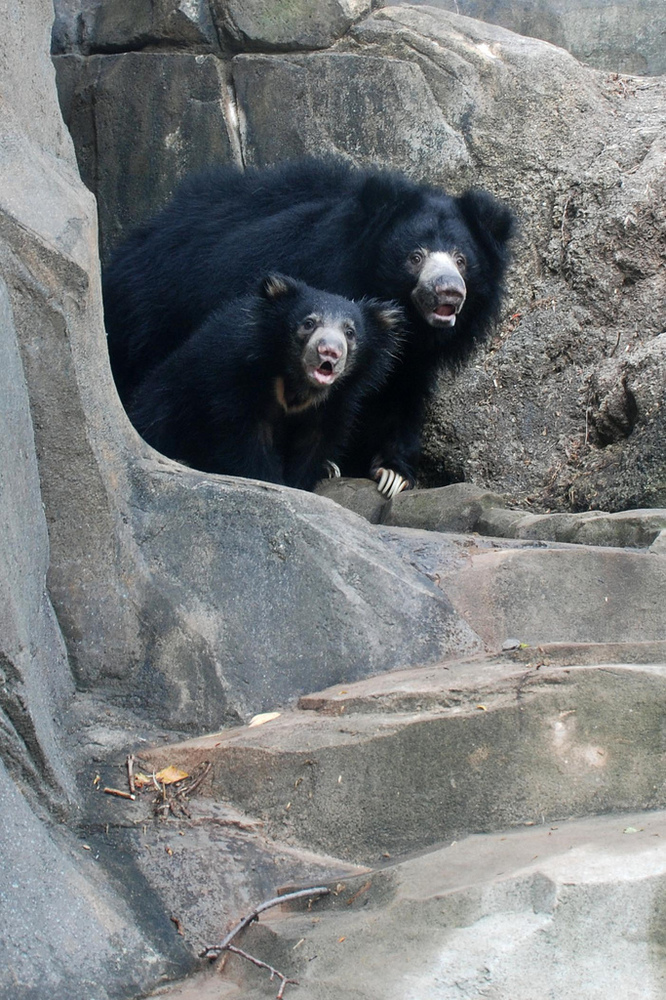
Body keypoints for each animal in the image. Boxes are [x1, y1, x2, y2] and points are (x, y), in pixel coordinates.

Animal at [127, 274, 404, 491]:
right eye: (309, 323)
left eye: (350, 332)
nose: (329, 351)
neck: (297, 383)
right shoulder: (234, 379)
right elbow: (245, 439)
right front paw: (270, 482)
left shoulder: (335, 402)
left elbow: (313, 444)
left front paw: (299, 483)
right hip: (167, 399)